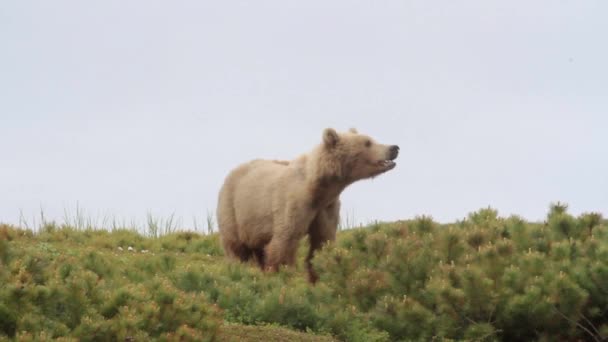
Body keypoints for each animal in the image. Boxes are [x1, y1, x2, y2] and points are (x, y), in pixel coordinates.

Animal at [215, 128, 400, 284]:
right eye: (367, 142)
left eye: (371, 139)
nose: (394, 148)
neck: (318, 189)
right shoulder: (294, 202)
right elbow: (285, 240)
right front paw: (282, 274)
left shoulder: (326, 208)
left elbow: (322, 241)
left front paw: (318, 277)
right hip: (233, 209)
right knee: (236, 247)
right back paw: (239, 270)